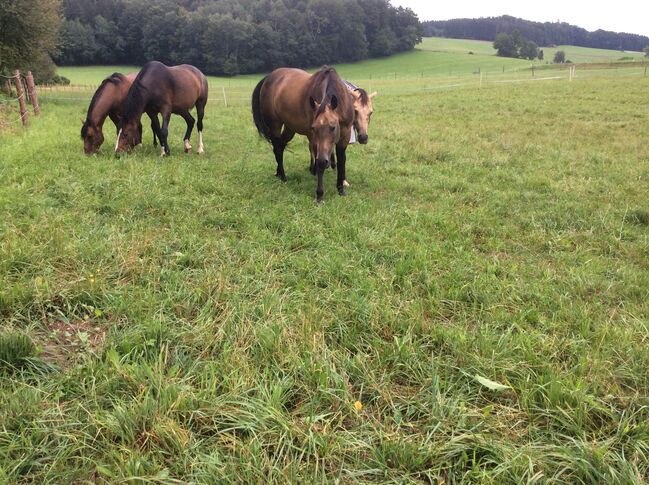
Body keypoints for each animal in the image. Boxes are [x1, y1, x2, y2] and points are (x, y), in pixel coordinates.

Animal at [252, 66, 354, 202]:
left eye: (332, 127)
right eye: (314, 128)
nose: (324, 162)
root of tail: (268, 78)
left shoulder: (345, 135)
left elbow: (342, 161)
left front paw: (341, 189)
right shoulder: (313, 139)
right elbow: (318, 163)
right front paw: (319, 195)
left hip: (289, 128)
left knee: (281, 146)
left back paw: (278, 173)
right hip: (275, 125)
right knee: (277, 148)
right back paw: (283, 177)